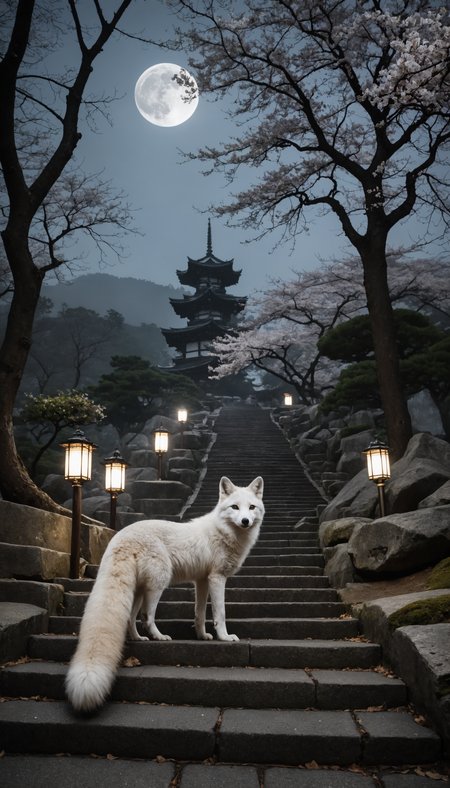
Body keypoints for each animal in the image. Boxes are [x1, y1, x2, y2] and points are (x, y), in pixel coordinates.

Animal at [65, 475, 264, 712]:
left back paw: (139, 638)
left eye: (251, 508)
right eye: (234, 507)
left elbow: (199, 613)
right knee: (147, 617)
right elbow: (220, 614)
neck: (224, 532)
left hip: (139, 591)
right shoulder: (217, 578)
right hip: (158, 584)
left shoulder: (202, 581)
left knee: (131, 618)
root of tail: (119, 537)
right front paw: (224, 637)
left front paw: (202, 636)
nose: (245, 521)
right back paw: (159, 637)